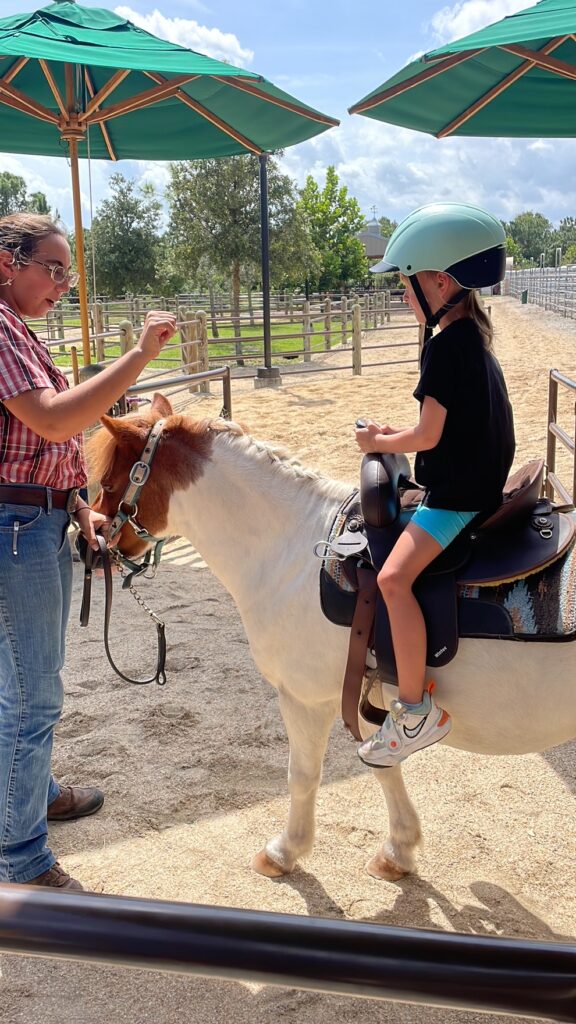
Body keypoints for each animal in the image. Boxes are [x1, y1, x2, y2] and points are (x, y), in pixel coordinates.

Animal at [86, 391, 573, 880]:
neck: (292, 549)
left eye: (107, 483)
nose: (88, 543)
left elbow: (303, 774)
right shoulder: (367, 690)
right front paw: (398, 851)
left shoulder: (302, 698)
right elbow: (381, 764)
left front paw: (284, 851)